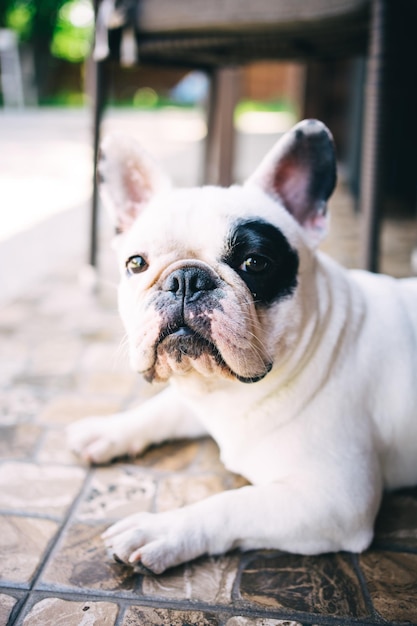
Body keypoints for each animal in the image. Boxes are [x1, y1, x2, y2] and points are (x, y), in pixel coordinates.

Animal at [68, 119, 416, 572]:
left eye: (255, 263)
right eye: (136, 263)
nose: (186, 278)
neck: (228, 393)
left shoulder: (337, 500)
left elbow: (231, 504)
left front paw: (160, 529)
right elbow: (162, 409)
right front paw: (107, 430)